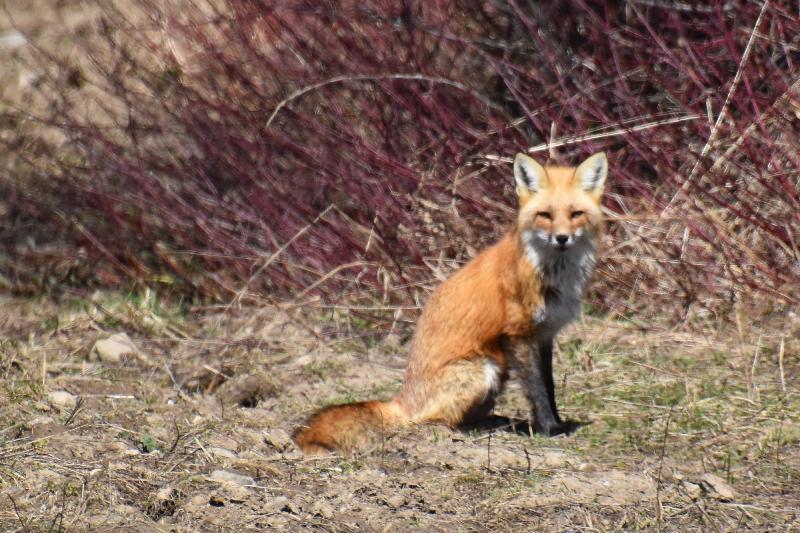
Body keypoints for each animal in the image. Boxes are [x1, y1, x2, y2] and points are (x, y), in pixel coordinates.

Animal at [294, 151, 608, 454]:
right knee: (431, 420)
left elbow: (549, 385)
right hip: (483, 368)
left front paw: (557, 422)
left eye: (576, 214)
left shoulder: (544, 335)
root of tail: (405, 399)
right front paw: (549, 428)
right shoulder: (518, 334)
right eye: (545, 215)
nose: (562, 238)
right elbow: (537, 390)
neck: (553, 273)